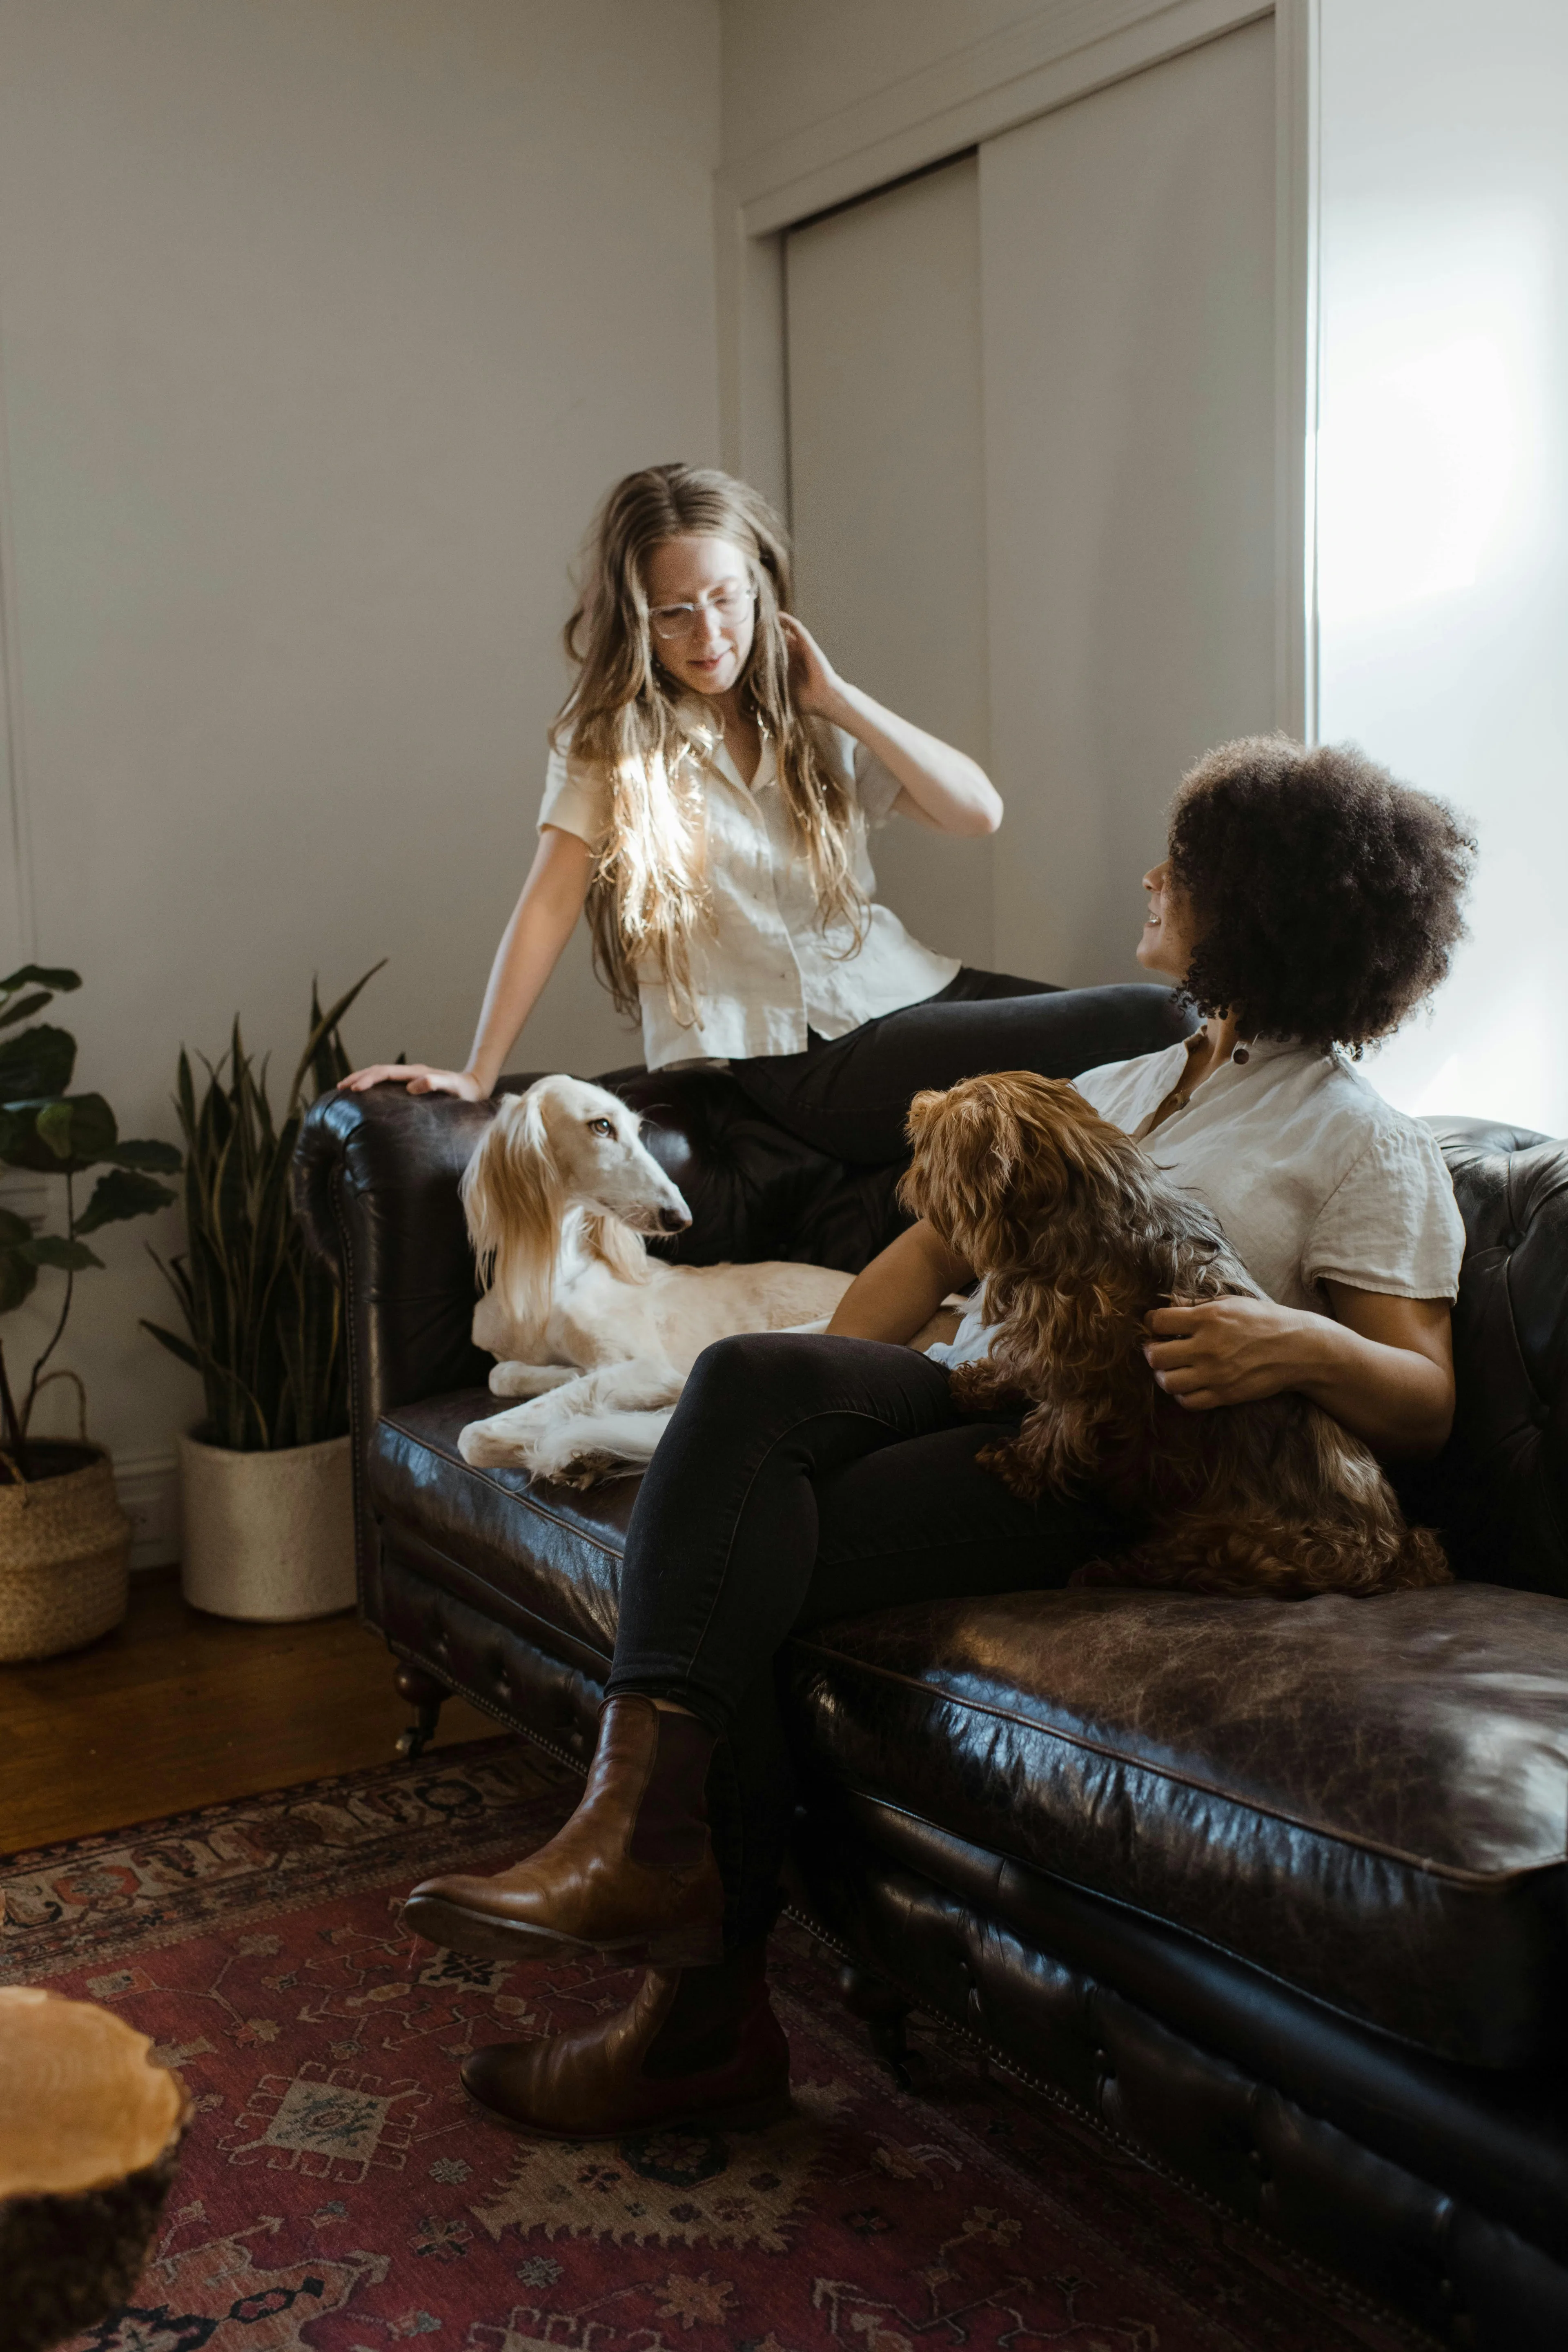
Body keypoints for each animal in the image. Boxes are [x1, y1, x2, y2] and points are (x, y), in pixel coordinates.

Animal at [456, 1077, 860, 1477]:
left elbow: (473, 1436)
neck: (549, 1275)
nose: (681, 1217)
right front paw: (563, 1376)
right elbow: (499, 1375)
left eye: (638, 1131)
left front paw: (572, 1438)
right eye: (602, 1126)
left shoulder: (649, 1366)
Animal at [902, 1072, 1457, 1599]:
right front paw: (980, 1385)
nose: (917, 1105)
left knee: (1185, 1564)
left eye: (935, 1133)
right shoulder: (1046, 1339)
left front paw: (1017, 1464)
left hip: (1239, 1540)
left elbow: (1057, 1422)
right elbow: (1018, 1367)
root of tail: (1395, 1553)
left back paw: (1109, 1570)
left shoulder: (1089, 1369)